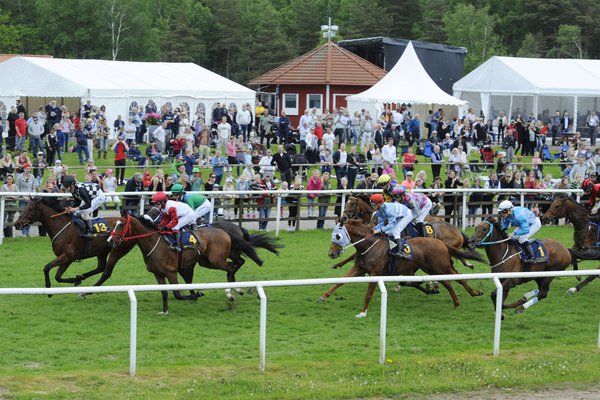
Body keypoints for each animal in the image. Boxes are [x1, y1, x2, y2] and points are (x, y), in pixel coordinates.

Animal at [318, 217, 482, 318]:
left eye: (338, 236)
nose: (331, 254)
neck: (370, 246)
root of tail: (441, 242)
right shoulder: (359, 269)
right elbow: (340, 281)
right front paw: (323, 296)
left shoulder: (375, 274)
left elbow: (368, 294)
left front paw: (362, 312)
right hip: (433, 269)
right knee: (450, 281)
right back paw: (463, 298)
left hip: (440, 267)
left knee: (456, 278)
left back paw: (468, 295)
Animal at [336, 195, 476, 270]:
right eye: (346, 202)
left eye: (352, 204)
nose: (343, 218)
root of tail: (457, 231)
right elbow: (354, 254)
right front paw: (338, 264)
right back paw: (468, 264)